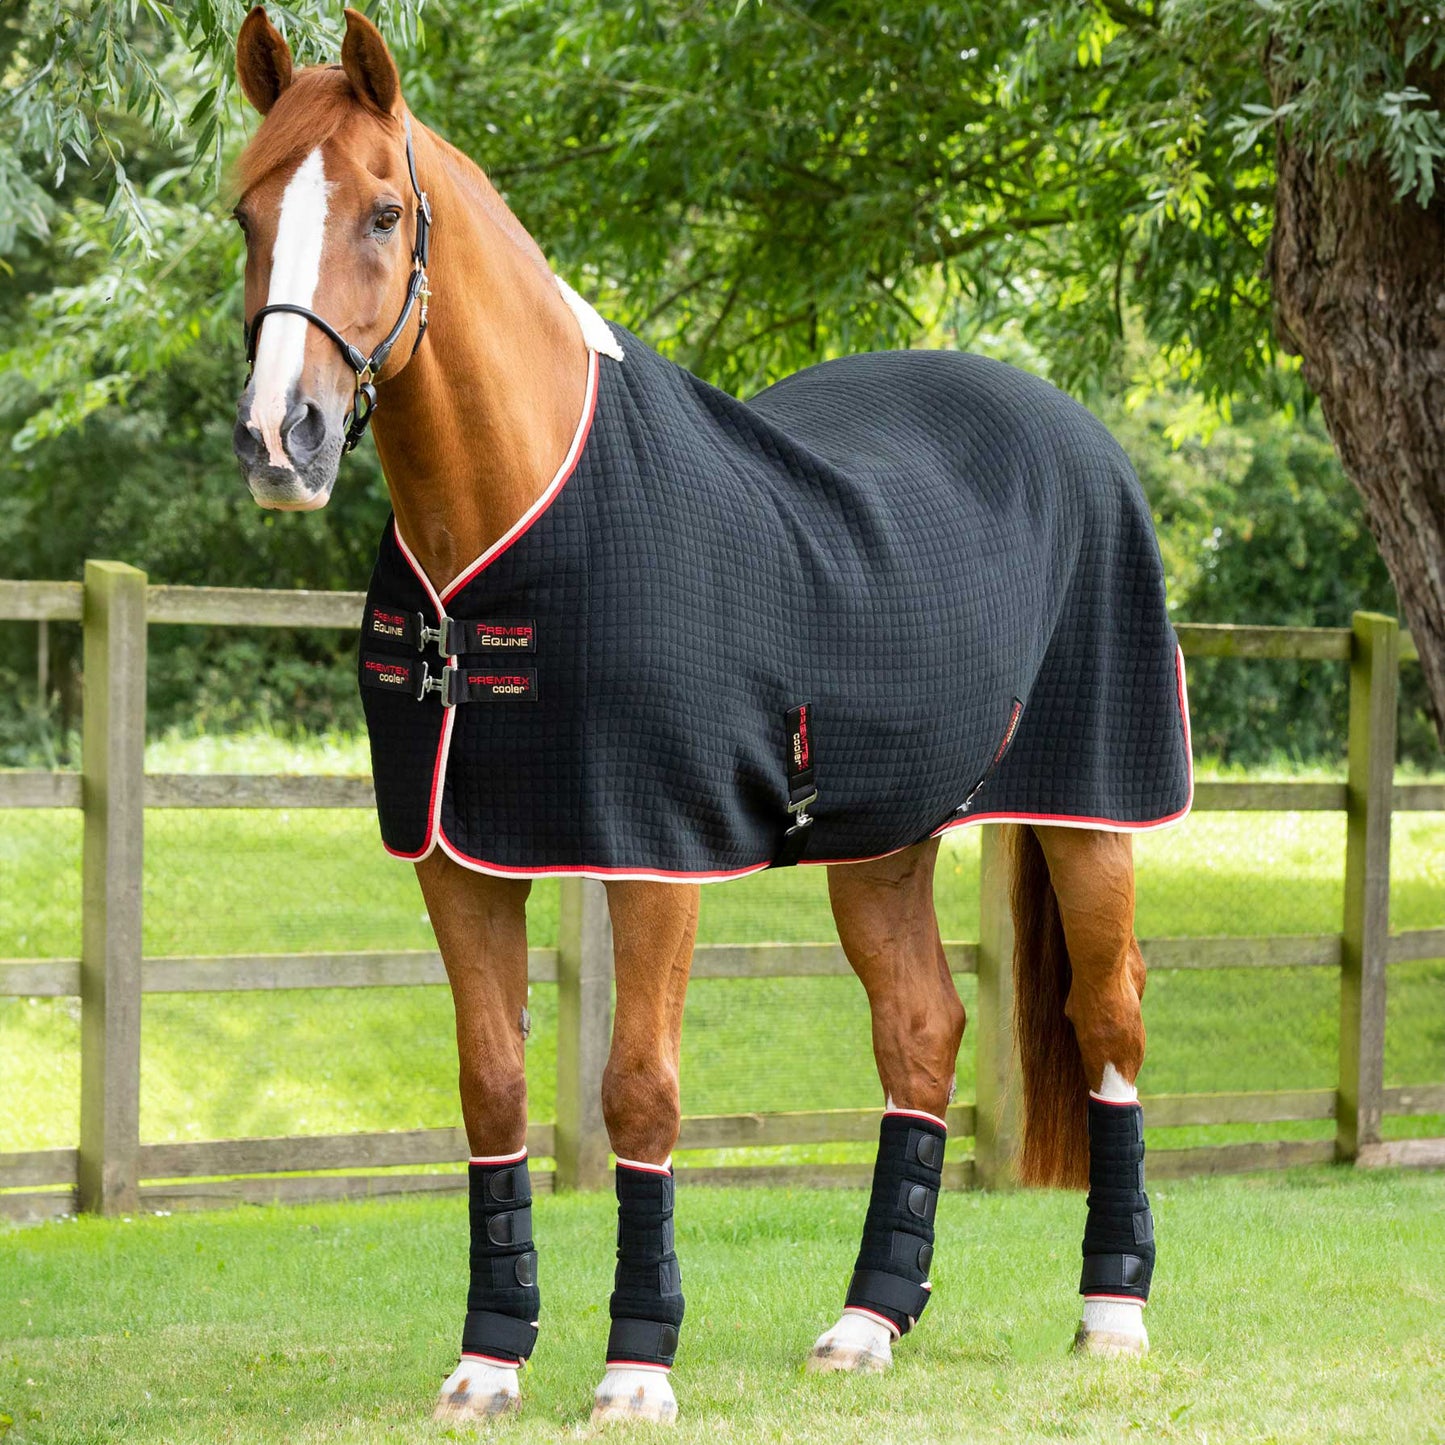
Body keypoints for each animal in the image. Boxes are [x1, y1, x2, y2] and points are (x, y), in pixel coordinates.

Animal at [230, 8, 1191, 1426]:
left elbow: (638, 1092)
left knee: (1108, 1018)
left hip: (1092, 812)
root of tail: (1066, 424)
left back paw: (1113, 1310)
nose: (279, 439)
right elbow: (491, 1087)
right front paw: (487, 1357)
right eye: (247, 212)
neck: (519, 518)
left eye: (385, 213)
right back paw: (865, 1319)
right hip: (882, 839)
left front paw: (636, 1365)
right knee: (920, 1033)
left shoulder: (651, 854)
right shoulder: (457, 857)